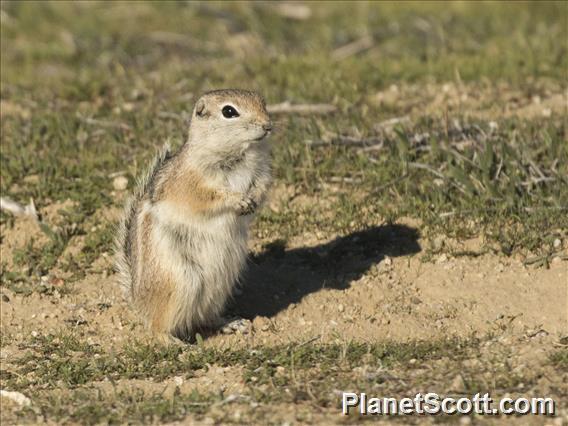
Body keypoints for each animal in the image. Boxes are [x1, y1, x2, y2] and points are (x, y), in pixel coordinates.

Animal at [114, 88, 272, 342]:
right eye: (229, 111)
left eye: (262, 102)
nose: (267, 125)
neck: (239, 154)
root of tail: (139, 303)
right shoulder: (192, 182)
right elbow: (209, 196)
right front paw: (238, 200)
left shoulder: (262, 173)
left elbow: (262, 186)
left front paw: (253, 200)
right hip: (181, 281)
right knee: (157, 326)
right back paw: (174, 342)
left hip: (221, 284)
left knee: (203, 317)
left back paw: (232, 323)